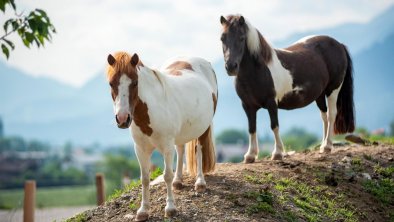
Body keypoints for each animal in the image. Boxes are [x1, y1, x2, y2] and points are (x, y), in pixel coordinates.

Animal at [106, 51, 217, 220]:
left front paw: (170, 208)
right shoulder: (140, 149)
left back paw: (200, 183)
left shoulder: (166, 147)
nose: (123, 119)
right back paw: (178, 181)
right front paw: (143, 211)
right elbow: (145, 178)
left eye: (135, 83)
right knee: (181, 149)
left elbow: (167, 176)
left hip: (203, 128)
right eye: (111, 83)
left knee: (199, 150)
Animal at [220, 14, 356, 162]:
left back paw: (327, 146)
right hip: (319, 94)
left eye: (241, 38)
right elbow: (252, 128)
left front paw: (278, 153)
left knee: (331, 115)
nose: (231, 67)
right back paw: (322, 146)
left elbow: (274, 125)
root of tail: (339, 44)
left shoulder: (272, 103)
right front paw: (250, 155)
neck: (259, 69)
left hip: (333, 90)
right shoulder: (247, 106)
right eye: (222, 38)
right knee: (324, 116)